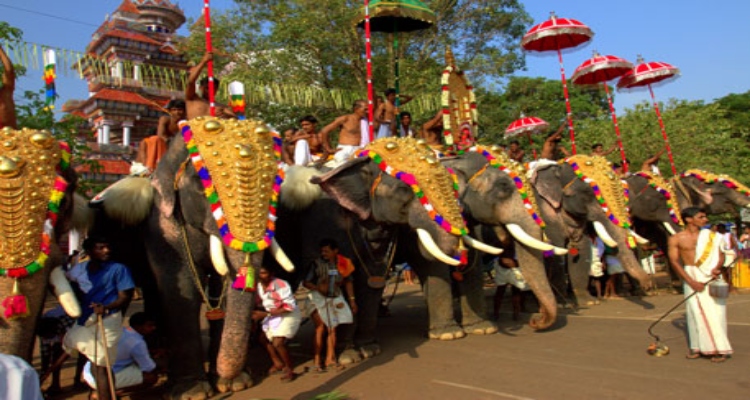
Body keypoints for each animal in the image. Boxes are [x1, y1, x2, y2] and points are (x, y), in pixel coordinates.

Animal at [95, 117, 302, 398]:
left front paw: (233, 384)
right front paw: (191, 391)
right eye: (204, 188)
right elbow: (182, 289)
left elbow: (221, 287)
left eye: (275, 186)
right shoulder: (162, 226)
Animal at [532, 155, 656, 304]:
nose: (648, 286)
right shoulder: (545, 213)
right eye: (588, 193)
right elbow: (556, 248)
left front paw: (589, 301)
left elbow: (582, 247)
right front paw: (564, 303)